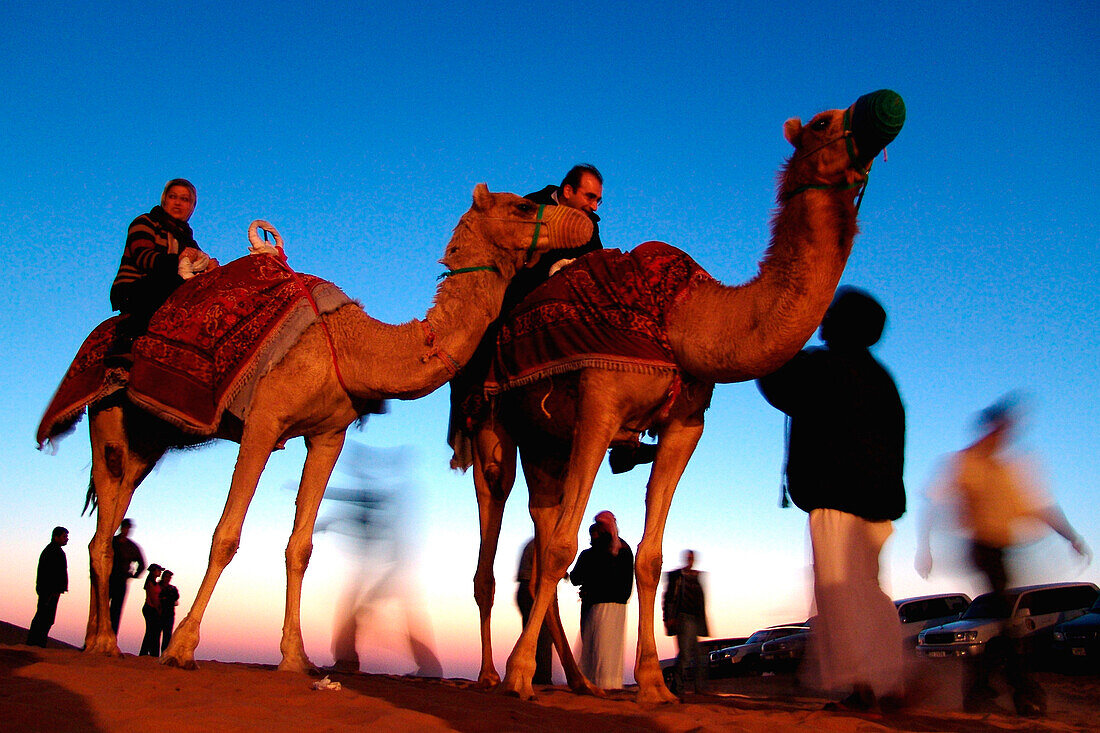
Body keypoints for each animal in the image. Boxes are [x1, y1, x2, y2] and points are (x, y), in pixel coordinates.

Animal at [61, 187, 594, 669]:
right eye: (523, 206)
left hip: (149, 437)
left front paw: (296, 657)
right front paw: (182, 647)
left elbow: (302, 546)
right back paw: (104, 643)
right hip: (107, 419)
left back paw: (95, 640)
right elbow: (226, 537)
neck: (351, 344)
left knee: (113, 509)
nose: (586, 221)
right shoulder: (263, 421)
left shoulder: (328, 434)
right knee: (105, 520)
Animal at [462, 89, 902, 695]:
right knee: (494, 529)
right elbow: (563, 549)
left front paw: (654, 682)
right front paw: (522, 674)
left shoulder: (684, 424)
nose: (886, 109)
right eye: (821, 122)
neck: (683, 318)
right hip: (493, 429)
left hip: (545, 442)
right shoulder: (600, 405)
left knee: (541, 523)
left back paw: (579, 680)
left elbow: (647, 558)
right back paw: (492, 673)